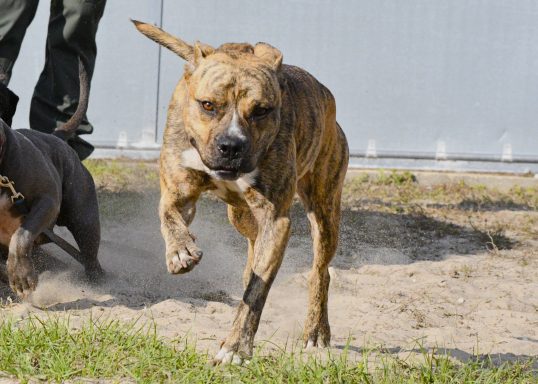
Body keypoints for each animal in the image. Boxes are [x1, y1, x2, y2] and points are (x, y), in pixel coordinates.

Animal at [132, 20, 346, 364]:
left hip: (325, 207)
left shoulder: (276, 220)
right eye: (208, 105)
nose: (231, 146)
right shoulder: (179, 192)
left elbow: (255, 294)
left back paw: (316, 330)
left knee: (320, 270)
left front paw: (234, 348)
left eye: (261, 110)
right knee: (253, 248)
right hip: (241, 216)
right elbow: (168, 215)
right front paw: (180, 251)